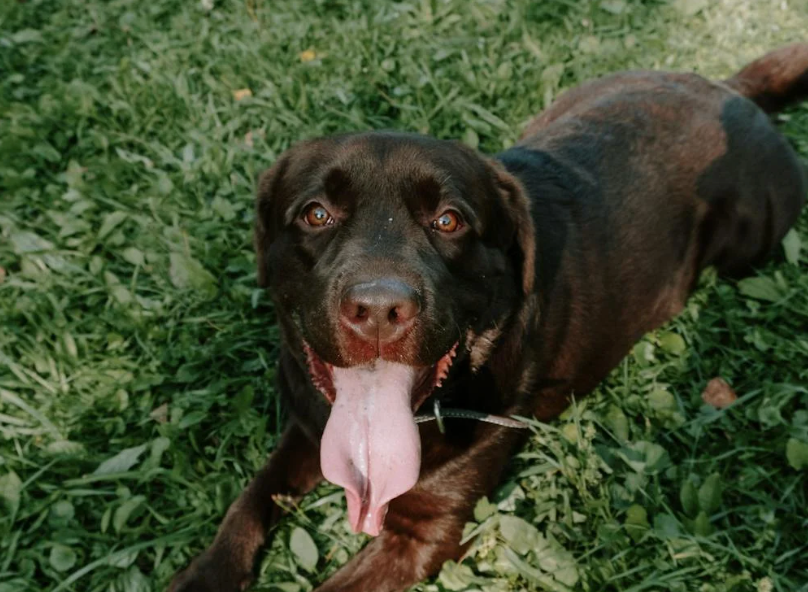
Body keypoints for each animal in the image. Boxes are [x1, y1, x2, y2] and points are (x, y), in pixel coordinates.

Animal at [170, 44, 808, 588]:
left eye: (449, 221)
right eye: (316, 214)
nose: (378, 308)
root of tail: (731, 90)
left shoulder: (426, 535)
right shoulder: (307, 428)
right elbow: (248, 499)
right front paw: (204, 575)